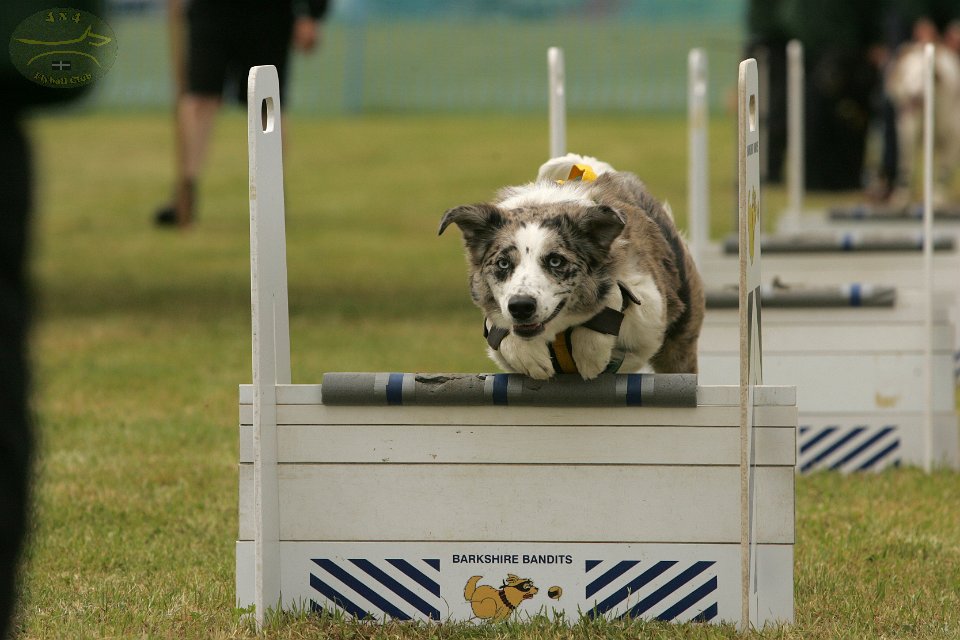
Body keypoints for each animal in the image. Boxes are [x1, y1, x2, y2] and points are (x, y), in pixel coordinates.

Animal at [439, 153, 704, 380]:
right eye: (503, 263)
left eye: (556, 261)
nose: (521, 307)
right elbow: (502, 331)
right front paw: (530, 357)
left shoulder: (651, 308)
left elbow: (616, 300)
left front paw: (590, 354)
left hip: (679, 343)